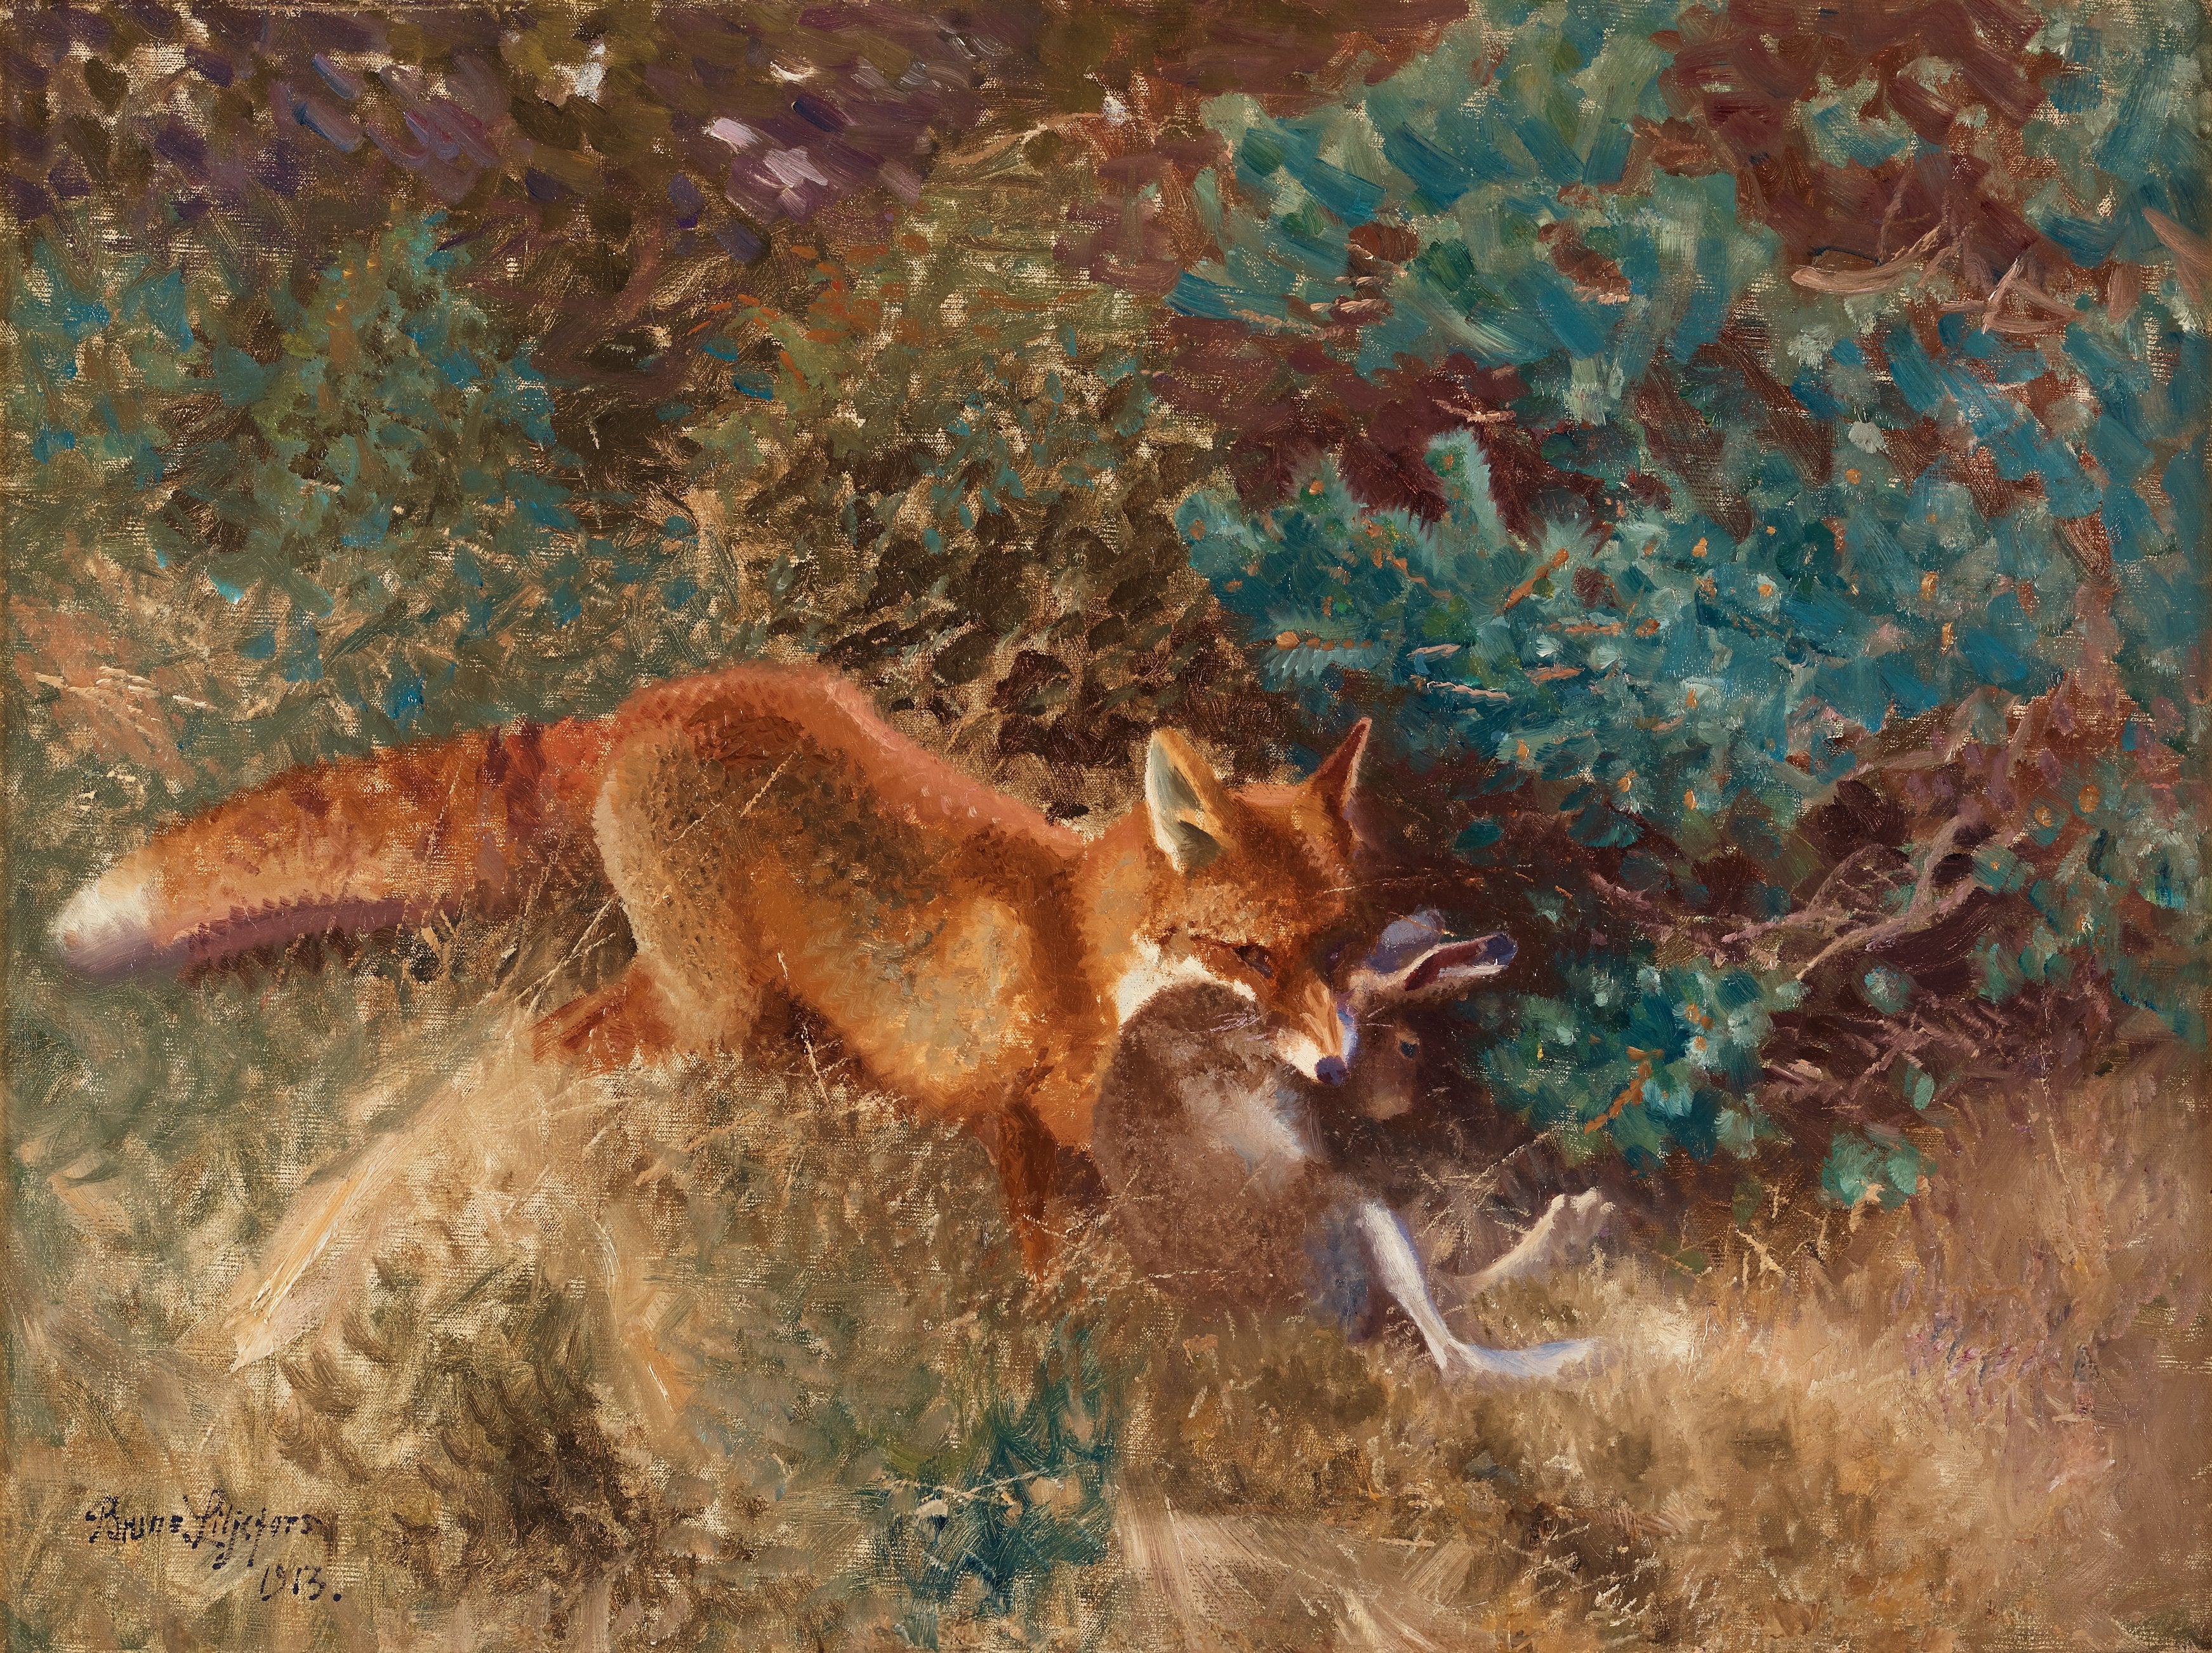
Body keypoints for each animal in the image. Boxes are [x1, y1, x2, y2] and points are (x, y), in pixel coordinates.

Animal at [51, 661, 1376, 1267]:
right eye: (1250, 950)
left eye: (1331, 942)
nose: (1337, 1057)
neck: (1075, 936)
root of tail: (641, 709)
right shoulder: (1027, 1127)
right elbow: (1055, 1277)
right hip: (699, 1001)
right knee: (539, 1049)